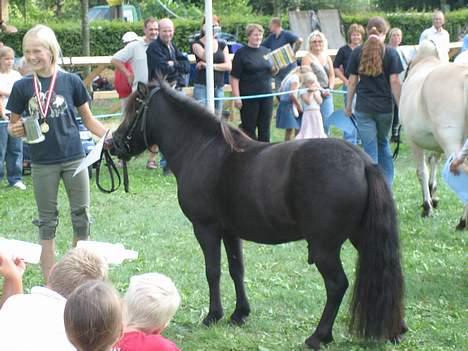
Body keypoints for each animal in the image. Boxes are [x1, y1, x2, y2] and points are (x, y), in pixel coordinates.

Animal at [110, 82, 406, 350]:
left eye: (134, 109)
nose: (113, 144)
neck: (203, 148)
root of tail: (364, 162)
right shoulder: (230, 232)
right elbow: (236, 269)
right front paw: (239, 313)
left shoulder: (206, 228)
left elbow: (213, 271)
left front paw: (213, 315)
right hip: (362, 238)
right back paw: (395, 330)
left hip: (324, 248)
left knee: (337, 285)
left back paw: (318, 336)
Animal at [398, 40, 468, 231]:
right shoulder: (437, 144)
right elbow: (433, 161)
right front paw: (433, 195)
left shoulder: (413, 140)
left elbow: (422, 170)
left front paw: (427, 207)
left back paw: (462, 222)